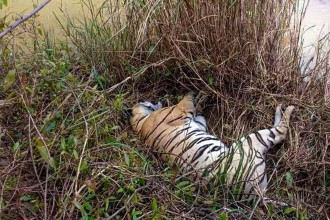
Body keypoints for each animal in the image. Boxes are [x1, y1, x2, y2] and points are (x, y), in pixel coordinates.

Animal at [128, 93, 294, 199]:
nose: (155, 100)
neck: (140, 124)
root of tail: (257, 194)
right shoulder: (178, 112)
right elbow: (186, 100)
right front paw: (197, 94)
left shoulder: (198, 123)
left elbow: (199, 117)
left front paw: (203, 102)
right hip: (250, 141)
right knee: (281, 132)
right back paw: (288, 108)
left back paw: (280, 107)